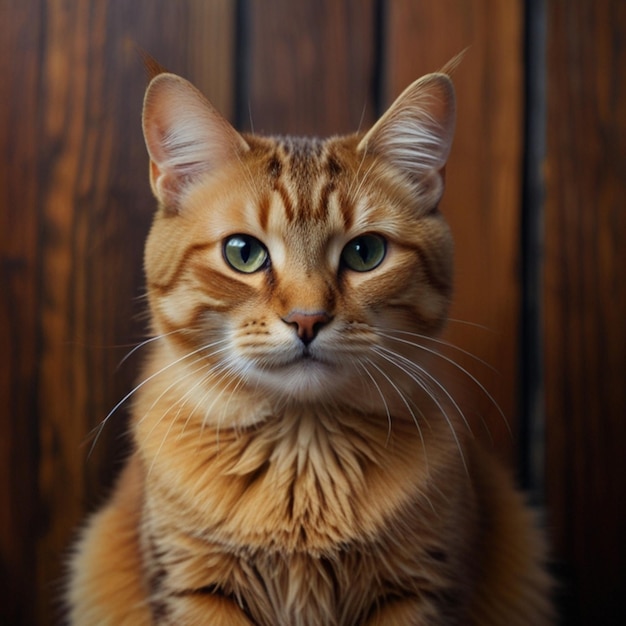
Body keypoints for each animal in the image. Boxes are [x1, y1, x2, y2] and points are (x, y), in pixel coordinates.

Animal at [64, 64, 552, 624]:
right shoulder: (192, 586)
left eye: (365, 253)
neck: (303, 452)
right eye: (243, 252)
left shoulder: (419, 586)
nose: (307, 319)